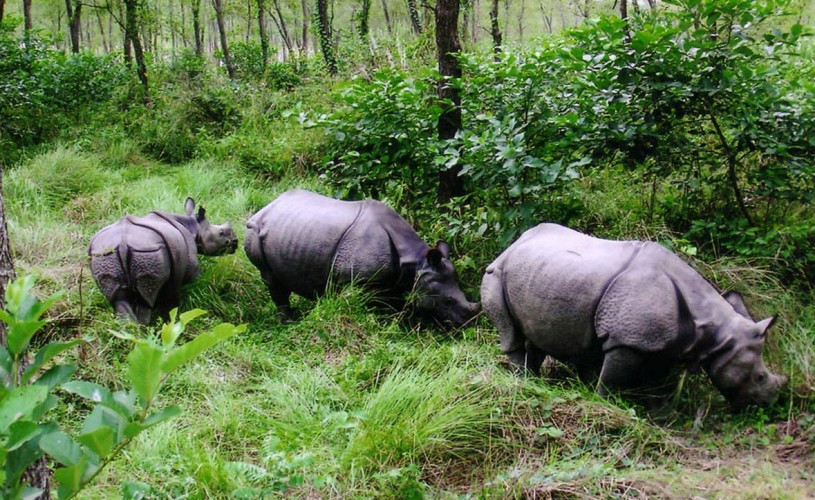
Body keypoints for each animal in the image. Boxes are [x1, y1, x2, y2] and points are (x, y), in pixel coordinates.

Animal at [89, 197, 237, 322]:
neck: (193, 226)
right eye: (221, 234)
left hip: (104, 256)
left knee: (118, 299)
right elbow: (197, 283)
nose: (235, 242)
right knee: (146, 299)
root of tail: (123, 243)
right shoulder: (191, 265)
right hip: (148, 253)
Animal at [245, 189, 482, 326]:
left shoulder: (394, 280)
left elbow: (391, 305)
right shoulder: (351, 280)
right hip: (254, 230)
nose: (467, 323)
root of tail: (266, 207)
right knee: (270, 277)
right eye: (448, 301)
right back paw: (288, 322)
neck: (416, 262)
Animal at [482, 223, 788, 406]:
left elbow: (656, 378)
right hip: (496, 273)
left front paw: (656, 407)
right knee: (511, 333)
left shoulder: (663, 343)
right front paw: (606, 403)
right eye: (759, 377)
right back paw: (521, 380)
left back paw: (534, 380)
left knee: (534, 333)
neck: (716, 331)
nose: (770, 402)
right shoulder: (626, 340)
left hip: (538, 273)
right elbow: (612, 378)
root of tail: (512, 245)